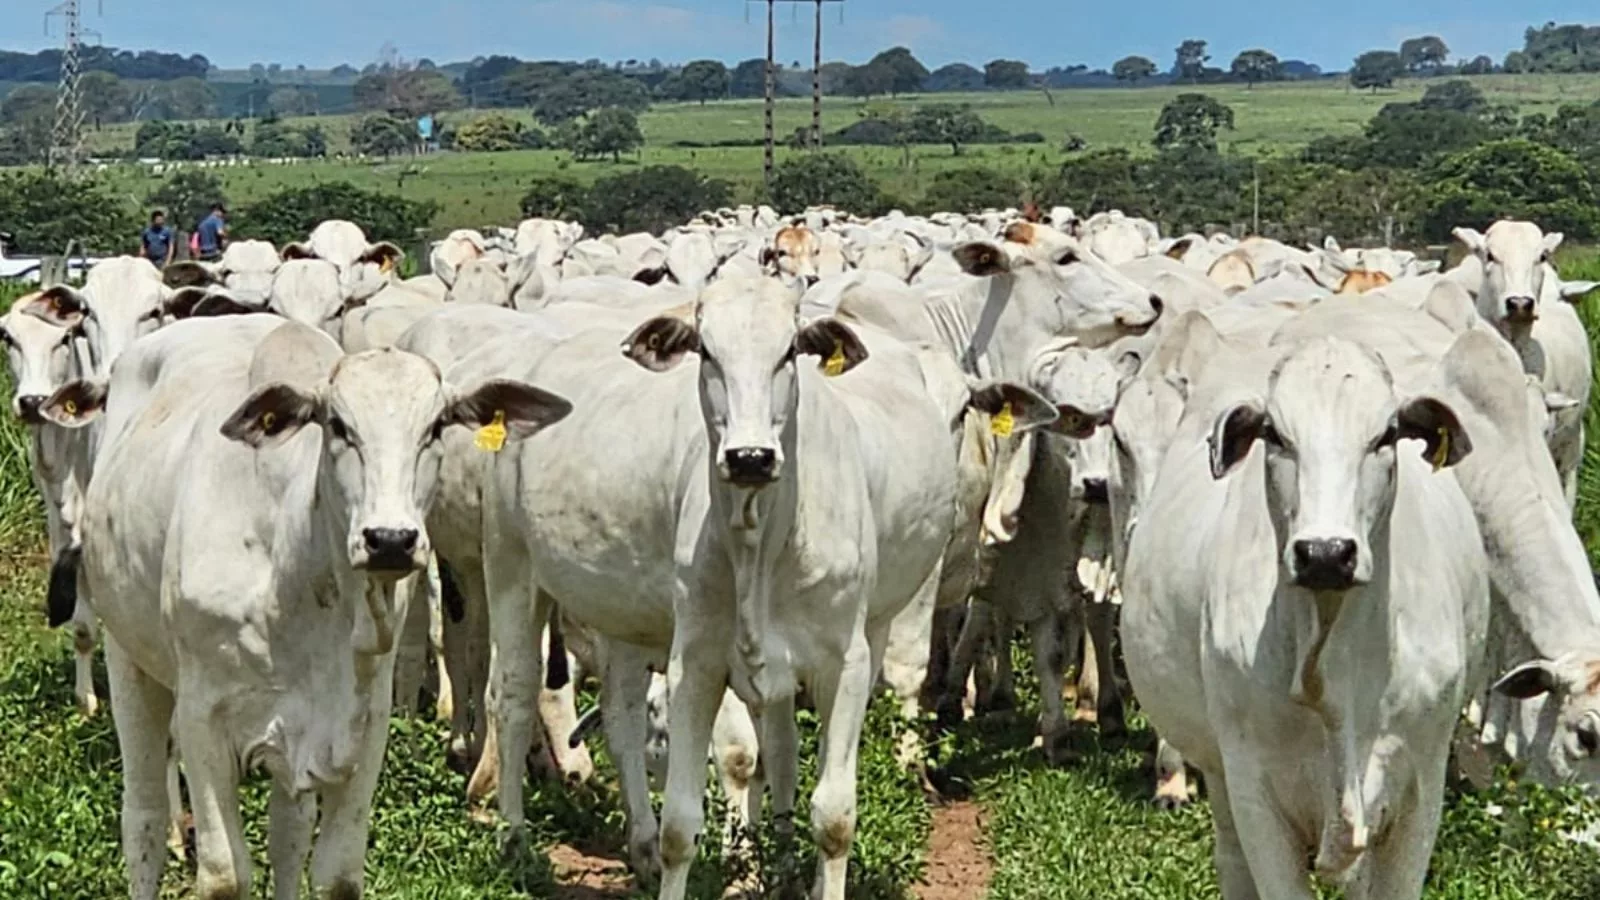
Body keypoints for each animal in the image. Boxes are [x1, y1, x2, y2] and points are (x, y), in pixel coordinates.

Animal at [56, 317, 576, 896]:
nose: (389, 540)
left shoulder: (361, 725)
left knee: (289, 831)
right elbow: (223, 874)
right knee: (142, 820)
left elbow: (335, 873)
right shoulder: (202, 717)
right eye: (338, 425)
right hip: (130, 659)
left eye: (437, 426)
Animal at [1126, 333, 1484, 890]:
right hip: (1220, 777)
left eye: (1387, 434)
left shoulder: (1421, 791)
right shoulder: (1255, 796)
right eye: (1274, 434)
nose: (1325, 553)